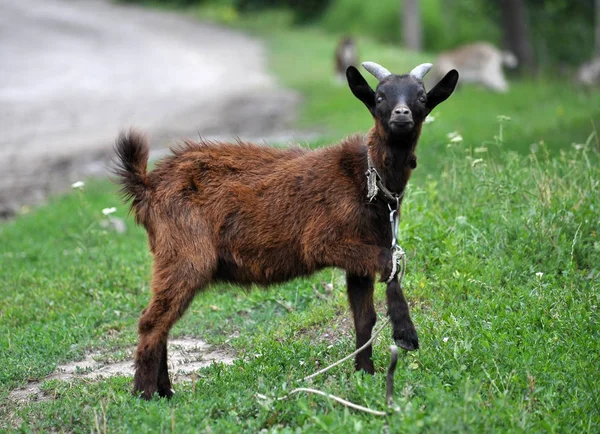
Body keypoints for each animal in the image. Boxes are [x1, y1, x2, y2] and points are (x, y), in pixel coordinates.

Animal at [115, 62, 458, 400]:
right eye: (380, 97)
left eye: (422, 98)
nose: (402, 115)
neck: (365, 178)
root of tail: (148, 186)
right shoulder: (323, 241)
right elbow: (391, 261)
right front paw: (405, 333)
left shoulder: (360, 255)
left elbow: (365, 314)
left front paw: (365, 372)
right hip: (185, 254)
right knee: (153, 321)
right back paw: (145, 394)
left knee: (163, 321)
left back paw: (164, 391)